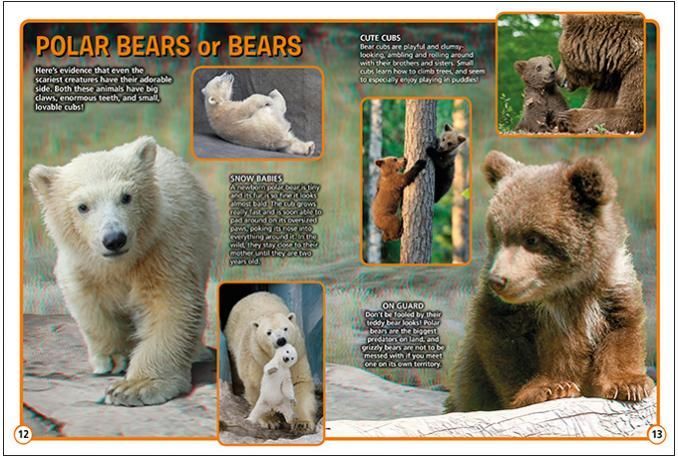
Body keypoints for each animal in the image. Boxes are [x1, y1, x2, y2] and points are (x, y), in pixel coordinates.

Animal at [28, 136, 217, 406]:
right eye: (82, 207)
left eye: (126, 197)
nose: (114, 239)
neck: (121, 263)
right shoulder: (81, 264)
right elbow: (87, 302)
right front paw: (111, 359)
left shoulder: (163, 250)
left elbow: (169, 305)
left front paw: (135, 387)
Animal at [225, 291, 316, 433]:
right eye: (269, 332)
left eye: (285, 328)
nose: (281, 340)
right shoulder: (257, 359)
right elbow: (257, 386)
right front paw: (271, 421)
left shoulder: (298, 355)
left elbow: (298, 382)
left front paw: (302, 423)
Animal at [444, 150, 653, 412]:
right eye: (497, 235)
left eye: (532, 238)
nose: (498, 280)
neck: (564, 287)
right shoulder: (507, 311)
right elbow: (506, 346)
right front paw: (548, 388)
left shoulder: (611, 286)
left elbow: (622, 328)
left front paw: (630, 384)